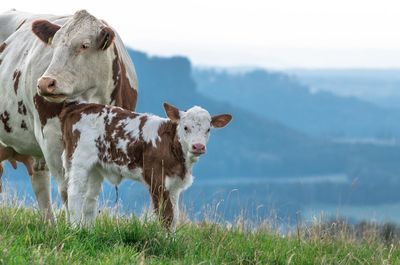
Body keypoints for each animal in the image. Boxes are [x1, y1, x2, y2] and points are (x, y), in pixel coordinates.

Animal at [0, 9, 138, 221]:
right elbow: (68, 188)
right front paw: (73, 225)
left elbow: (90, 194)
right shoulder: (51, 138)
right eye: (54, 45)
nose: (45, 83)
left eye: (84, 45)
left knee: (39, 180)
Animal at [61, 102, 233, 228]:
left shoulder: (175, 185)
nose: (198, 146)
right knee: (74, 194)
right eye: (185, 127)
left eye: (208, 129)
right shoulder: (156, 179)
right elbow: (166, 215)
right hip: (79, 161)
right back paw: (76, 229)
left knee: (89, 199)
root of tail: (79, 107)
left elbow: (175, 215)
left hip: (95, 167)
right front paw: (166, 242)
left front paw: (172, 240)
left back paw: (88, 230)